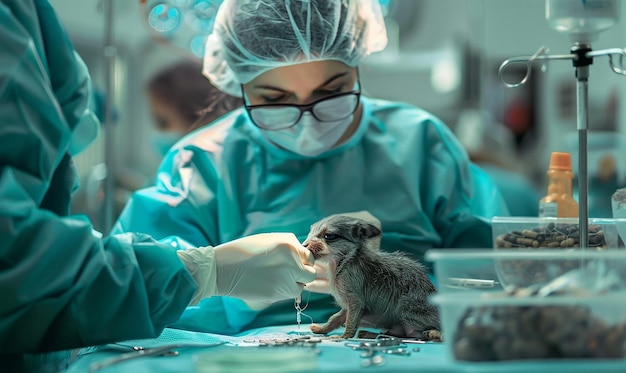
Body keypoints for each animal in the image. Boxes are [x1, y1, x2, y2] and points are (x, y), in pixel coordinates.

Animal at [302, 214, 438, 338]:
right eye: (310, 233)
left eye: (329, 236)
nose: (303, 245)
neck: (344, 260)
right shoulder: (348, 306)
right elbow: (335, 318)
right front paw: (322, 329)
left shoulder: (355, 301)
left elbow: (350, 321)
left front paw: (344, 337)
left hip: (407, 309)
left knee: (417, 333)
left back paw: (433, 334)